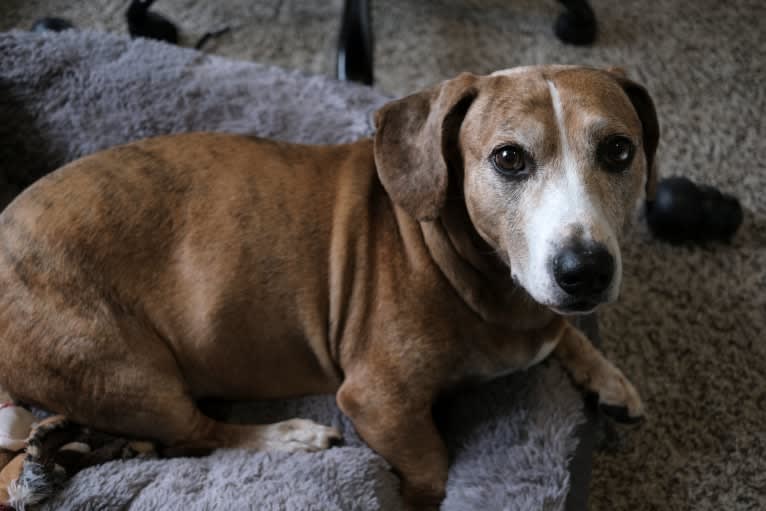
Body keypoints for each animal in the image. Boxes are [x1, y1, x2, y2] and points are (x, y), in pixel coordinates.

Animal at [0, 66, 660, 510]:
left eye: (618, 150)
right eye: (508, 158)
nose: (586, 269)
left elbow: (565, 332)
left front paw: (608, 377)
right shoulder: (377, 401)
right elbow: (433, 464)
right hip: (129, 374)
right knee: (198, 434)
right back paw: (290, 436)